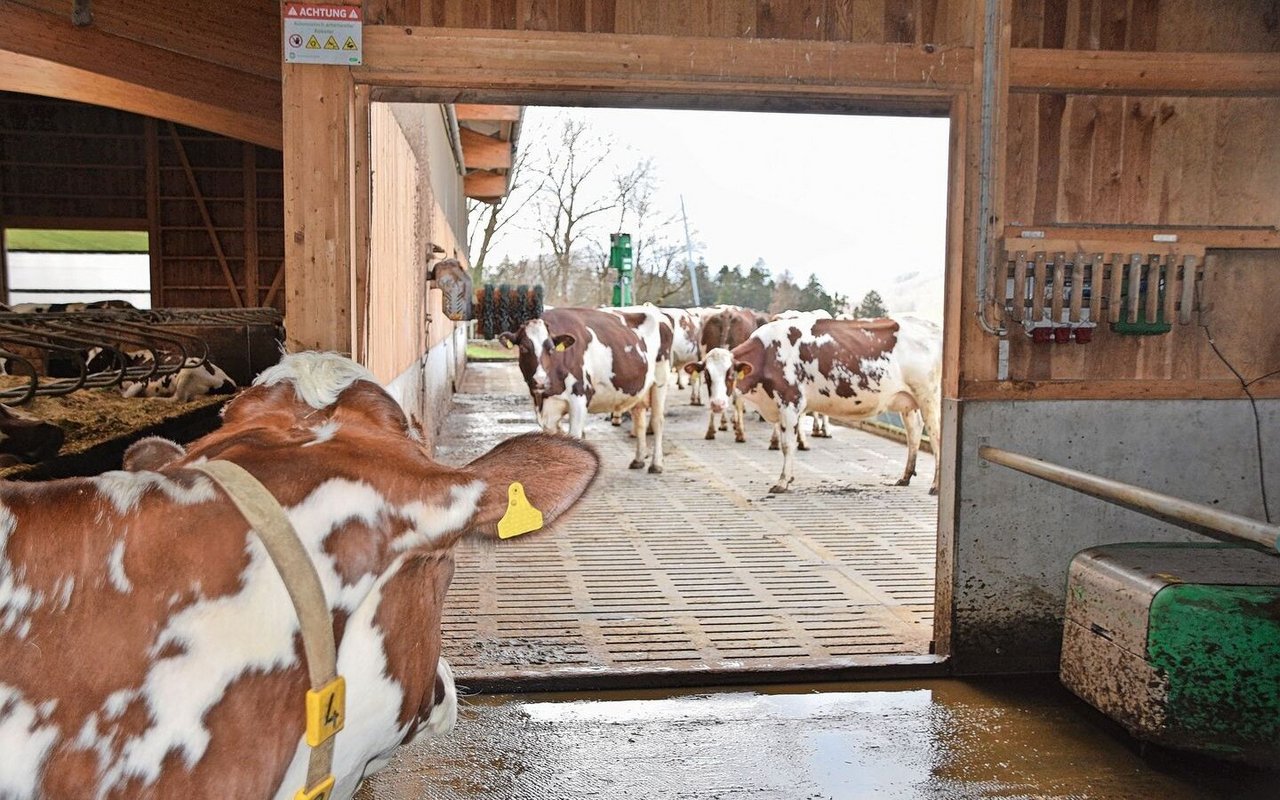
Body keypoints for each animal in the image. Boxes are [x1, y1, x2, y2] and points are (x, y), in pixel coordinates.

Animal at [501, 302, 670, 471]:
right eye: (523, 348)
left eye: (551, 349)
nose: (540, 380)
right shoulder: (547, 408)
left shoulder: (580, 399)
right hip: (638, 388)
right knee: (639, 419)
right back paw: (638, 460)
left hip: (660, 380)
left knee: (657, 421)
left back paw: (656, 464)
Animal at [691, 313, 942, 494]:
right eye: (707, 376)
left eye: (730, 374)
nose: (717, 403)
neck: (768, 353)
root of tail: (932, 326)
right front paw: (788, 477)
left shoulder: (790, 401)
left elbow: (787, 445)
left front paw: (782, 482)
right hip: (908, 401)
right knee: (914, 432)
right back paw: (905, 477)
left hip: (929, 396)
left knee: (936, 436)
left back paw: (936, 485)